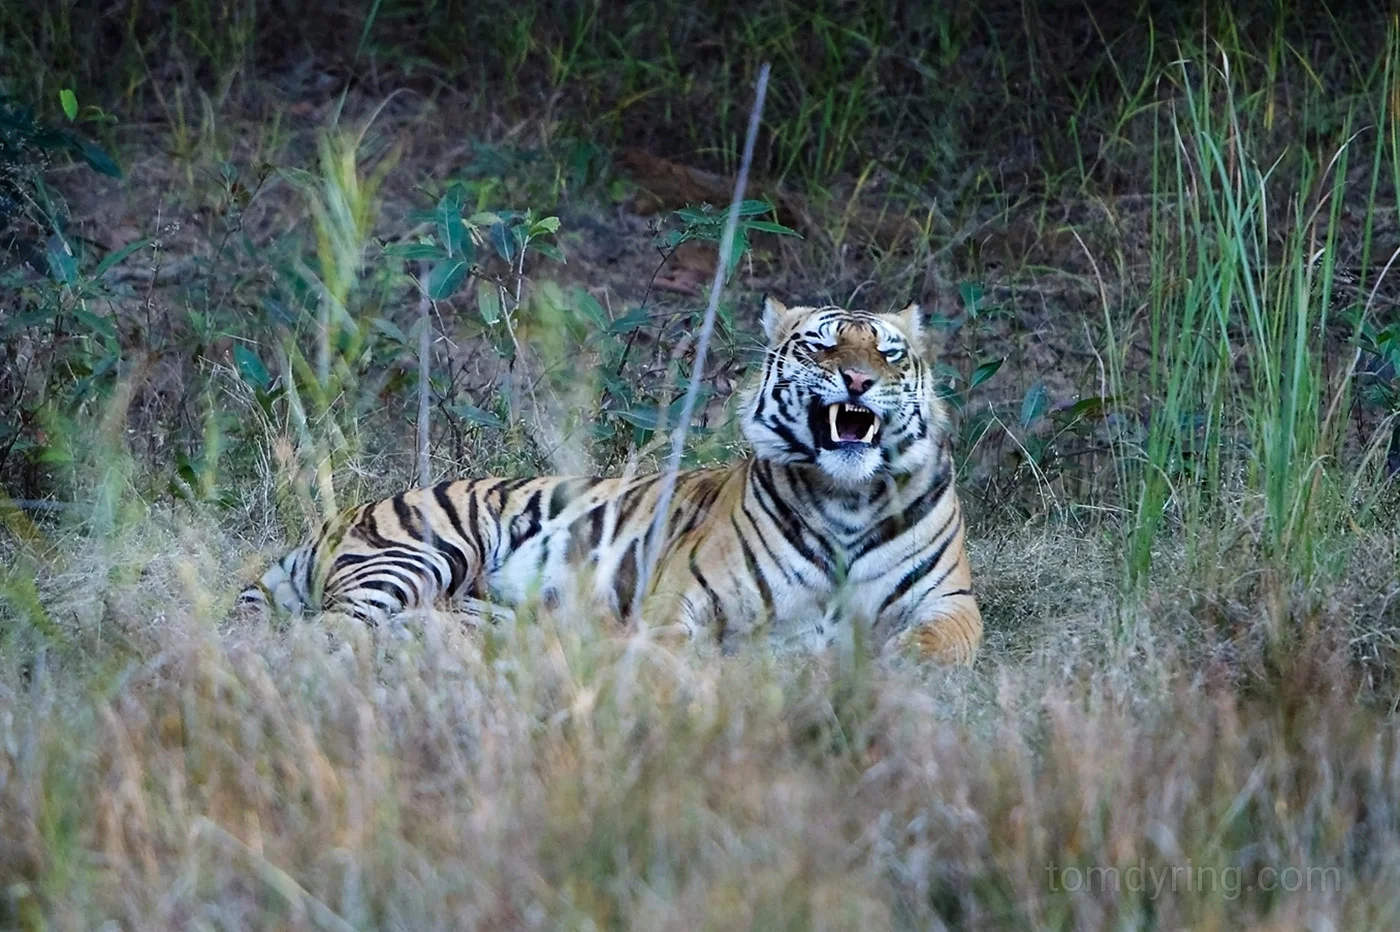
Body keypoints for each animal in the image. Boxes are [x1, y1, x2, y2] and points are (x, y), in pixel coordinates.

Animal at [237, 297, 982, 663]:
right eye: (821, 346)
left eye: (889, 353)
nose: (858, 380)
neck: (846, 498)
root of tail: (330, 522)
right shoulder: (685, 597)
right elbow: (674, 646)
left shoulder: (953, 602)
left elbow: (938, 646)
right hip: (421, 552)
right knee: (323, 633)